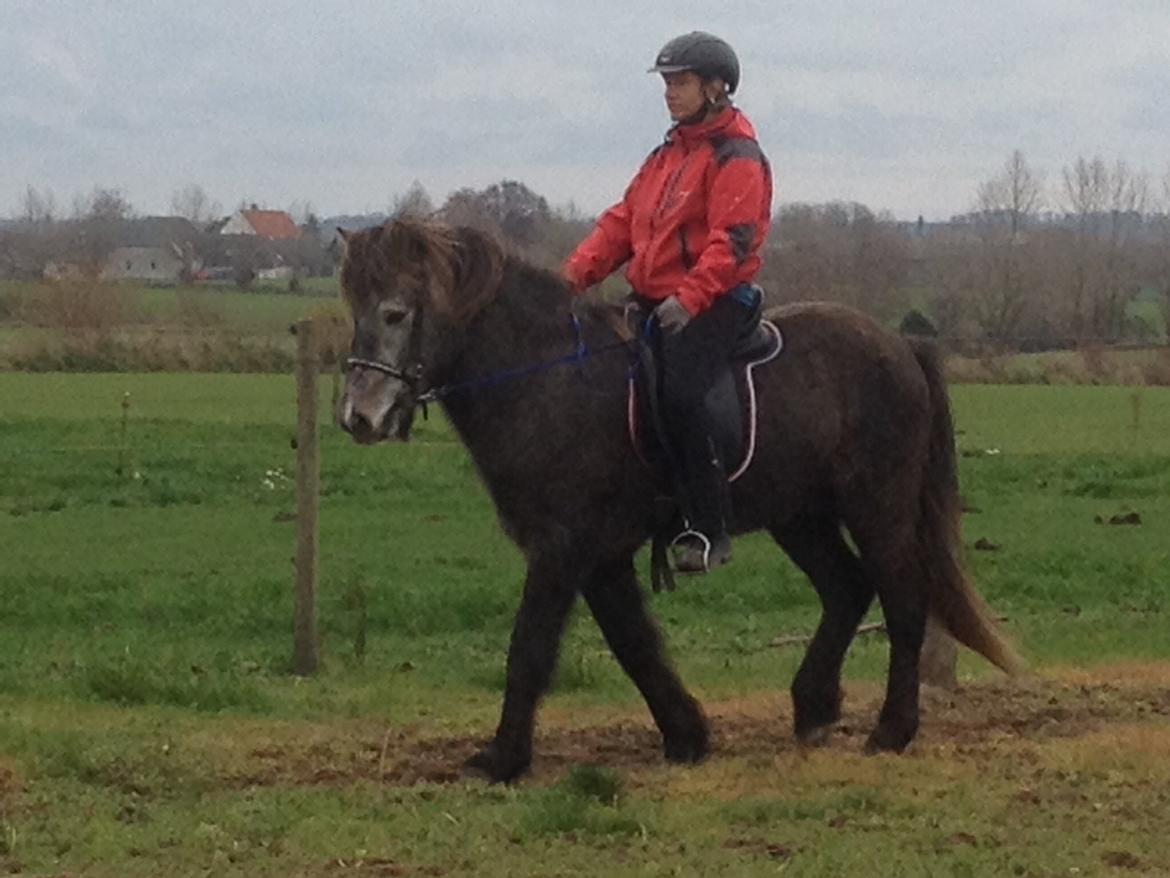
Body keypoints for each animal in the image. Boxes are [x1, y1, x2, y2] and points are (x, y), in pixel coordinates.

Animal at [334, 218, 1020, 782]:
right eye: (354, 309)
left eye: (395, 313)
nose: (359, 419)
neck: (550, 381)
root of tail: (899, 347)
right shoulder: (600, 557)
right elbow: (636, 645)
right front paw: (687, 736)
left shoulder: (562, 549)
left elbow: (529, 648)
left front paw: (503, 759)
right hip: (801, 516)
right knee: (847, 589)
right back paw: (814, 707)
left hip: (877, 504)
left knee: (902, 600)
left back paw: (891, 730)